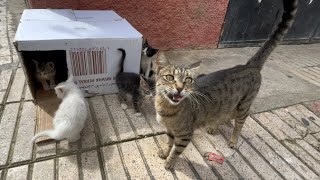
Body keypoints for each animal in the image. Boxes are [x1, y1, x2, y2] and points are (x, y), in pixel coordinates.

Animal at [154, 0, 298, 169]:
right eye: (170, 77)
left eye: (188, 80)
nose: (179, 88)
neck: (167, 110)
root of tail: (249, 66)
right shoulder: (170, 131)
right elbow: (169, 144)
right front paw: (164, 153)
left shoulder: (184, 135)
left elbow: (176, 151)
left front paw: (169, 163)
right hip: (230, 103)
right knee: (226, 113)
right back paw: (214, 127)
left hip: (244, 106)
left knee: (239, 123)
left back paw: (233, 140)